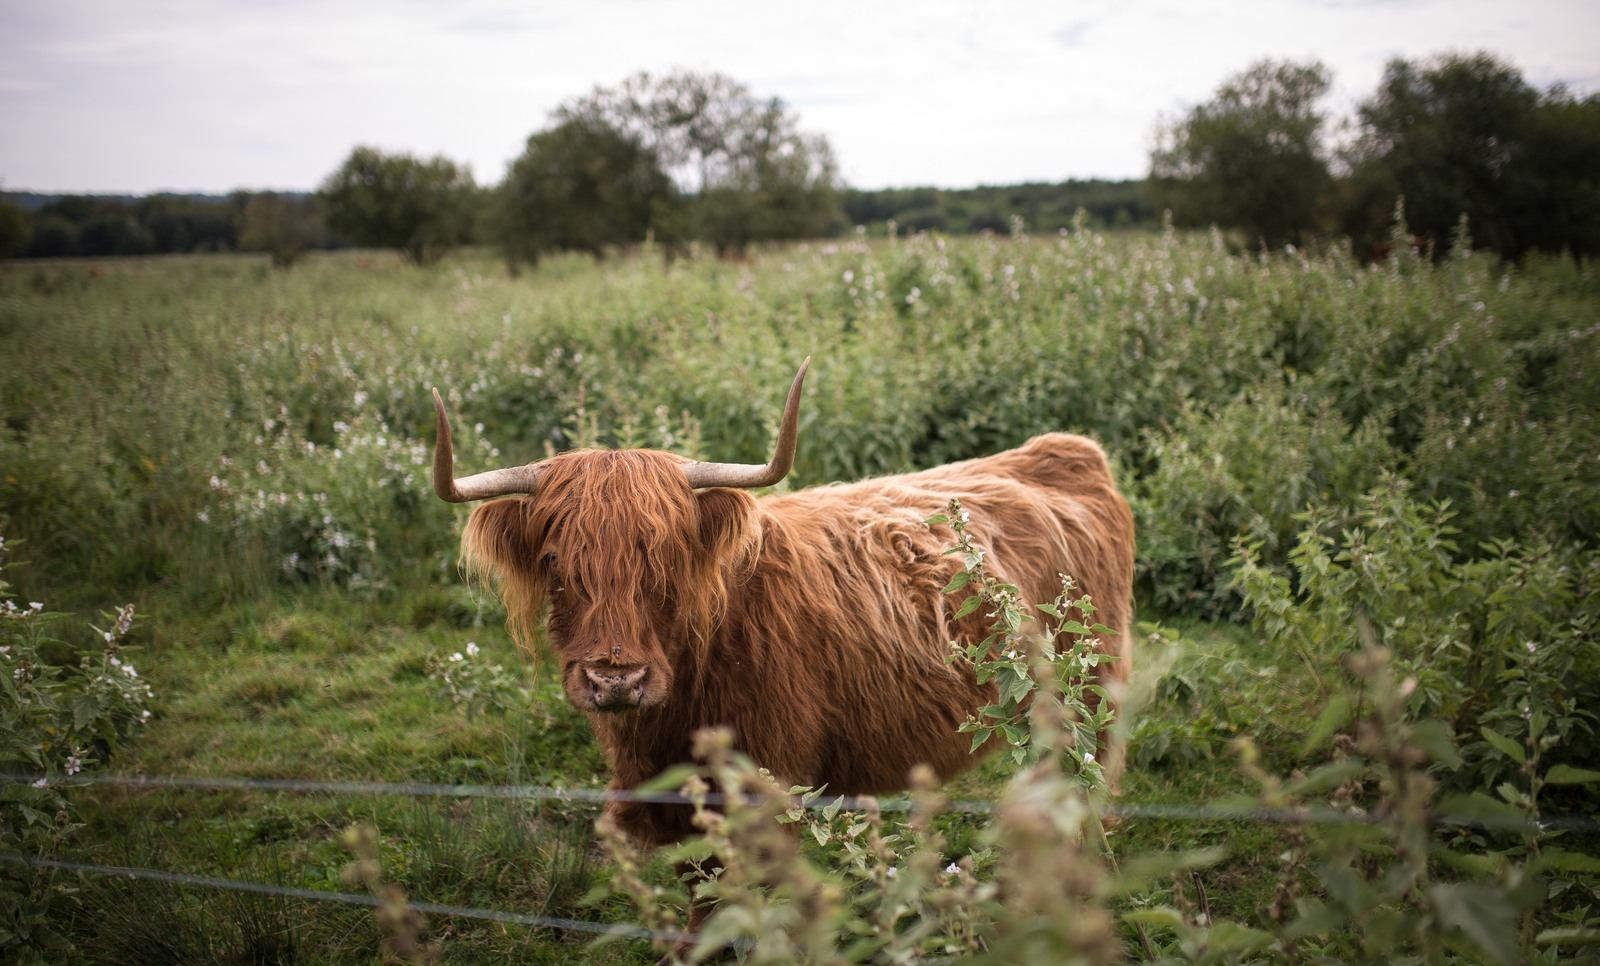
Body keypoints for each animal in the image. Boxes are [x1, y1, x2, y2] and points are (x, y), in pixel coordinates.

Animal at [430, 358, 1134, 851]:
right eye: (555, 563)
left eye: (669, 560)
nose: (616, 678)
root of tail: (1064, 452)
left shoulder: (768, 787)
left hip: (1090, 696)